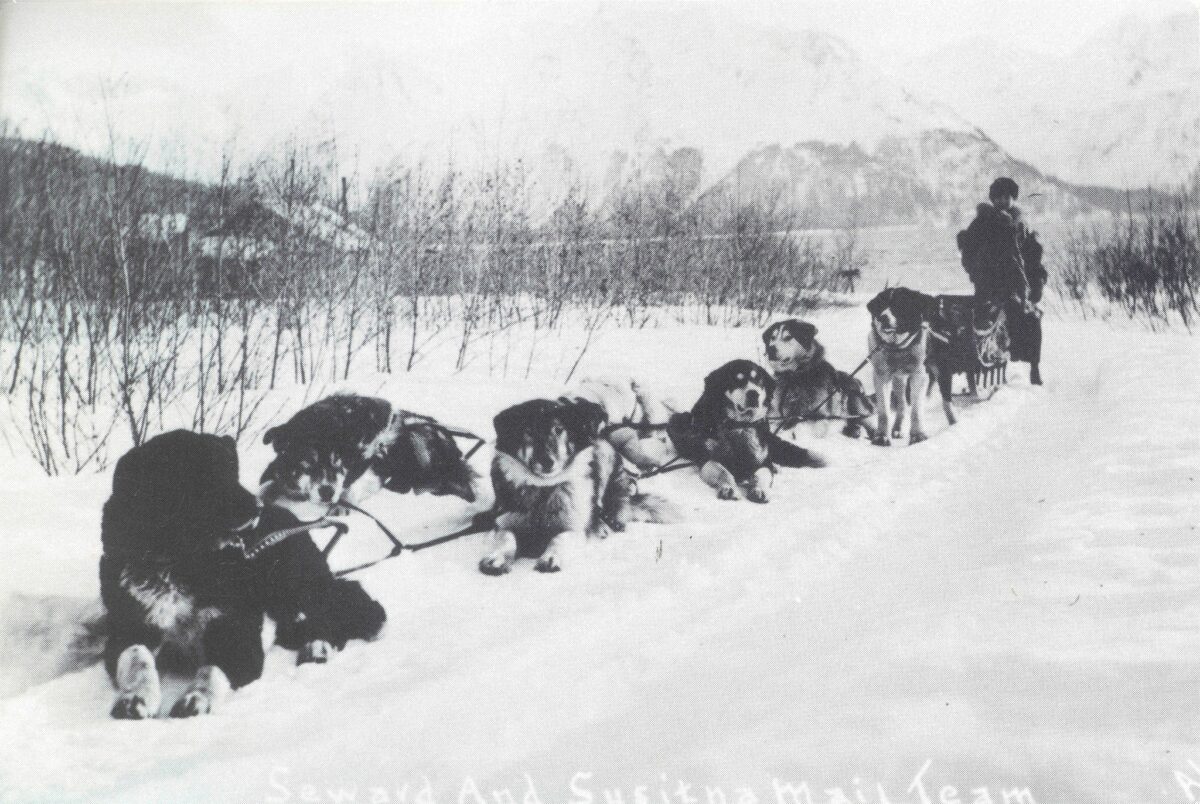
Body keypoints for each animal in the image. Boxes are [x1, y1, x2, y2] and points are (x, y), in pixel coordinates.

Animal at [103, 432, 386, 720]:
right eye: (203, 476)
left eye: (233, 471)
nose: (257, 507)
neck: (183, 562)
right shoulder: (130, 628)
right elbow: (137, 657)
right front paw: (137, 697)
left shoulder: (237, 633)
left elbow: (211, 669)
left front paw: (197, 698)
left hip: (296, 583)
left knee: (336, 615)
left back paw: (317, 647)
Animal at [480, 400, 686, 576]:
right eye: (528, 431)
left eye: (558, 429)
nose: (546, 461)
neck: (545, 488)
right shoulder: (503, 522)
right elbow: (507, 537)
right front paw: (497, 558)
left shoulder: (574, 528)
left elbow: (559, 538)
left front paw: (551, 557)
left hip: (603, 458)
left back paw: (603, 525)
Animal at [667, 360, 825, 504]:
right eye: (736, 380)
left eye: (758, 380)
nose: (753, 394)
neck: (740, 425)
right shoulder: (707, 459)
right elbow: (723, 471)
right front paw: (729, 488)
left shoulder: (762, 460)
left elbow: (762, 474)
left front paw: (760, 489)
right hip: (678, 421)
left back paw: (775, 467)